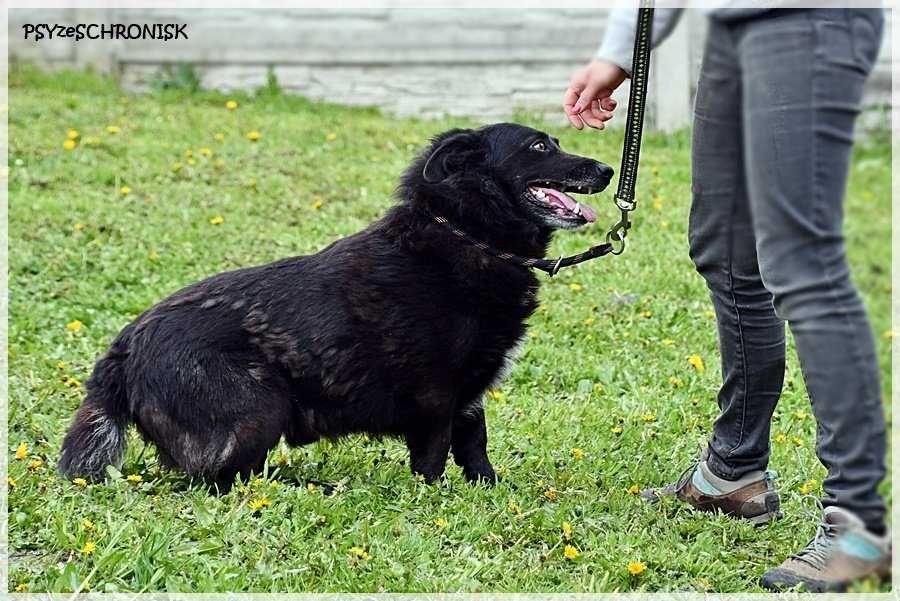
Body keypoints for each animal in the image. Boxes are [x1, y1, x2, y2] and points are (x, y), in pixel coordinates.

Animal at [59, 122, 616, 488]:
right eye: (539, 146)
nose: (609, 169)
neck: (467, 234)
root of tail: (121, 352)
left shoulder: (470, 391)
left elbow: (475, 443)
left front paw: (489, 490)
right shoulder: (436, 396)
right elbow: (434, 458)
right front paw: (436, 500)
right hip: (261, 406)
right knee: (217, 481)